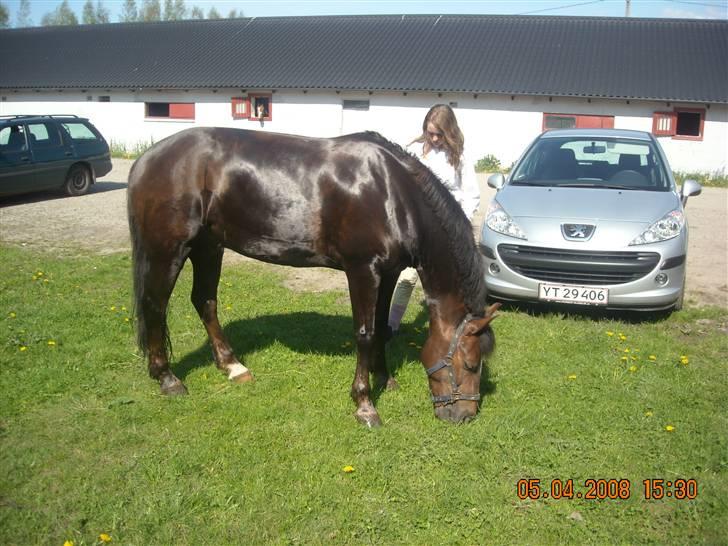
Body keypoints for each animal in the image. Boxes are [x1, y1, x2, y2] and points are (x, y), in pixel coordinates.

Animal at [126, 127, 500, 424]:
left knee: (205, 301)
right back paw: (167, 378)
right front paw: (365, 404)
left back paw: (232, 366)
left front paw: (385, 378)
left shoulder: (389, 272)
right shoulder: (363, 270)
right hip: (168, 251)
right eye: (470, 365)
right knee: (155, 307)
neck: (393, 193)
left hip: (208, 247)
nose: (463, 415)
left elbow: (381, 327)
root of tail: (147, 158)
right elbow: (365, 333)